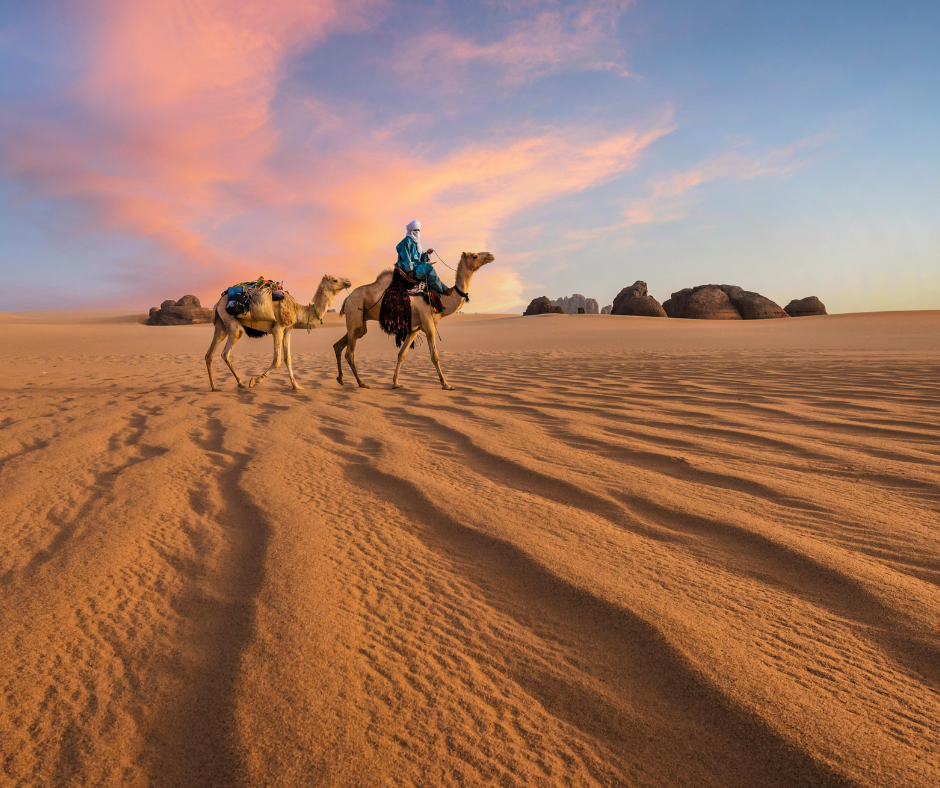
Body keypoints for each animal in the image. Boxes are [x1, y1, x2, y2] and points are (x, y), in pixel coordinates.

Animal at [206, 274, 351, 391]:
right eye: (335, 279)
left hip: (221, 324)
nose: (348, 281)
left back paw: (214, 386)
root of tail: (217, 303)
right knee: (227, 351)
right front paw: (254, 381)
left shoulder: (288, 330)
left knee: (210, 353)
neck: (297, 310)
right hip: (231, 321)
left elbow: (288, 359)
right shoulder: (278, 329)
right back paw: (241, 383)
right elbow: (277, 360)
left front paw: (296, 386)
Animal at [334, 252, 495, 390]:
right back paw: (361, 383)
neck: (441, 299)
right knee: (349, 354)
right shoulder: (429, 325)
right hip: (355, 313)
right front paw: (446, 384)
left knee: (339, 345)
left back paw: (340, 379)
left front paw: (396, 383)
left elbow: (402, 354)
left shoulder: (414, 329)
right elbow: (435, 356)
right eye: (474, 256)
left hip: (359, 324)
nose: (490, 255)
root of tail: (346, 299)